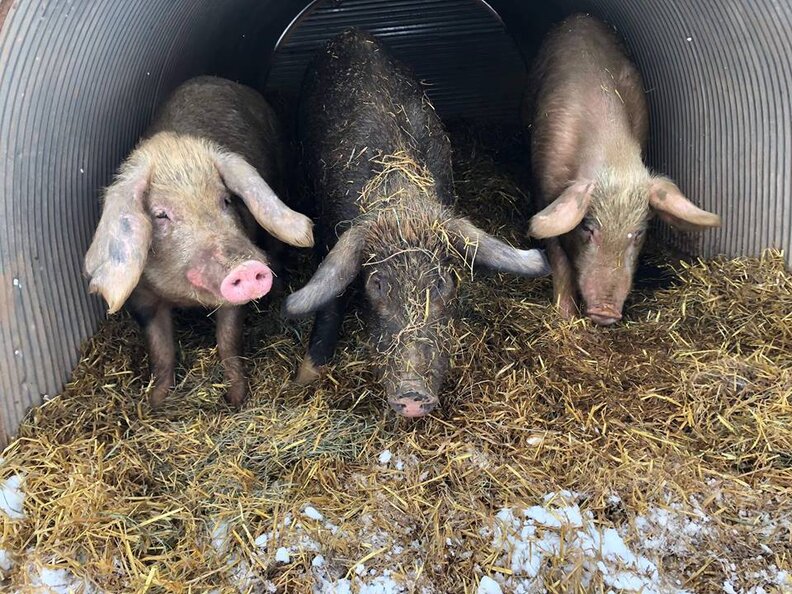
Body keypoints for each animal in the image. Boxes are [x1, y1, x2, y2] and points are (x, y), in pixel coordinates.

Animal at [84, 76, 314, 407]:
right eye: (161, 214)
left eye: (226, 200)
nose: (245, 267)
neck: (185, 297)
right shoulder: (142, 298)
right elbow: (161, 350)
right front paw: (157, 402)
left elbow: (228, 342)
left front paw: (235, 400)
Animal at [284, 30, 549, 417]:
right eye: (377, 284)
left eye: (442, 282)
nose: (412, 394)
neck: (403, 203)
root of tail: (353, 33)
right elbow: (331, 299)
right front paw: (303, 379)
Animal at [525, 14, 721, 325]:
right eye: (588, 227)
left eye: (638, 233)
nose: (605, 311)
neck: (613, 155)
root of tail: (580, 16)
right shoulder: (543, 187)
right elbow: (557, 254)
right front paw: (565, 317)